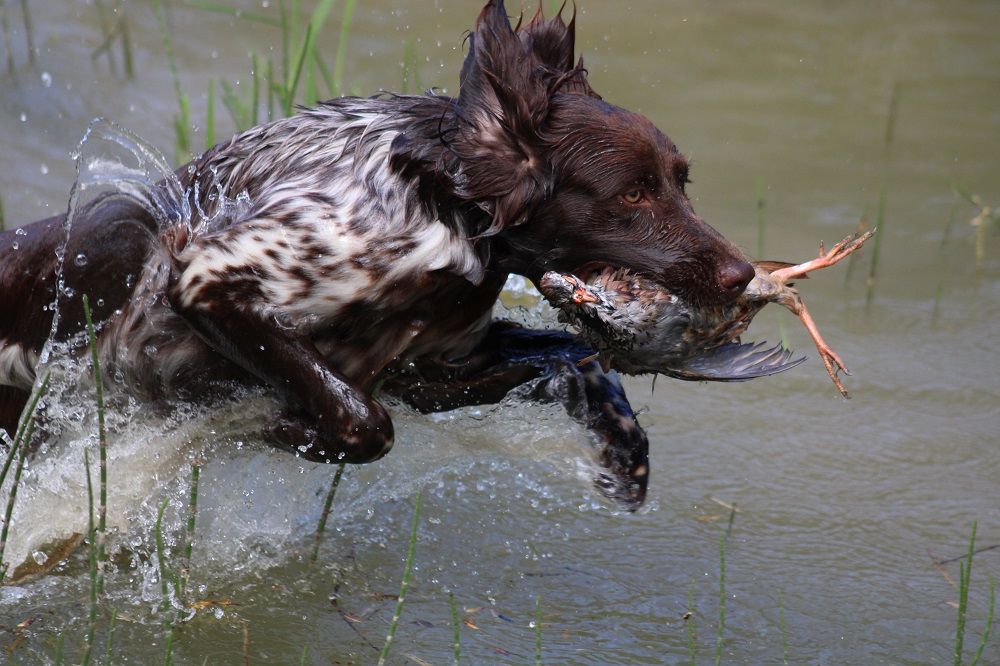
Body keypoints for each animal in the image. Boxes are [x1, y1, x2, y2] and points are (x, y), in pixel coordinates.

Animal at [0, 1, 752, 508]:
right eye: (631, 194)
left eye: (680, 182)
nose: (743, 276)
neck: (444, 211)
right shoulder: (209, 277)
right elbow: (366, 420)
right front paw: (285, 431)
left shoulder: (434, 361)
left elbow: (576, 356)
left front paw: (623, 446)